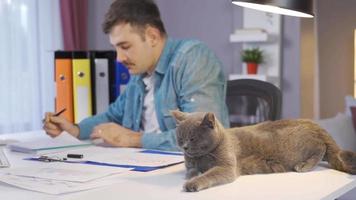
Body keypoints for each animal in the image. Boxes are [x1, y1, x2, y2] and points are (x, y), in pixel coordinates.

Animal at [171, 110, 356, 191]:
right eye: (180, 138)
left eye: (192, 138)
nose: (184, 147)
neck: (202, 158)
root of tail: (312, 123)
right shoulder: (191, 163)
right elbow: (191, 170)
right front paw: (192, 174)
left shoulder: (227, 167)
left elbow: (210, 174)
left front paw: (192, 183)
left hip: (302, 147)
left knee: (321, 147)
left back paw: (304, 165)